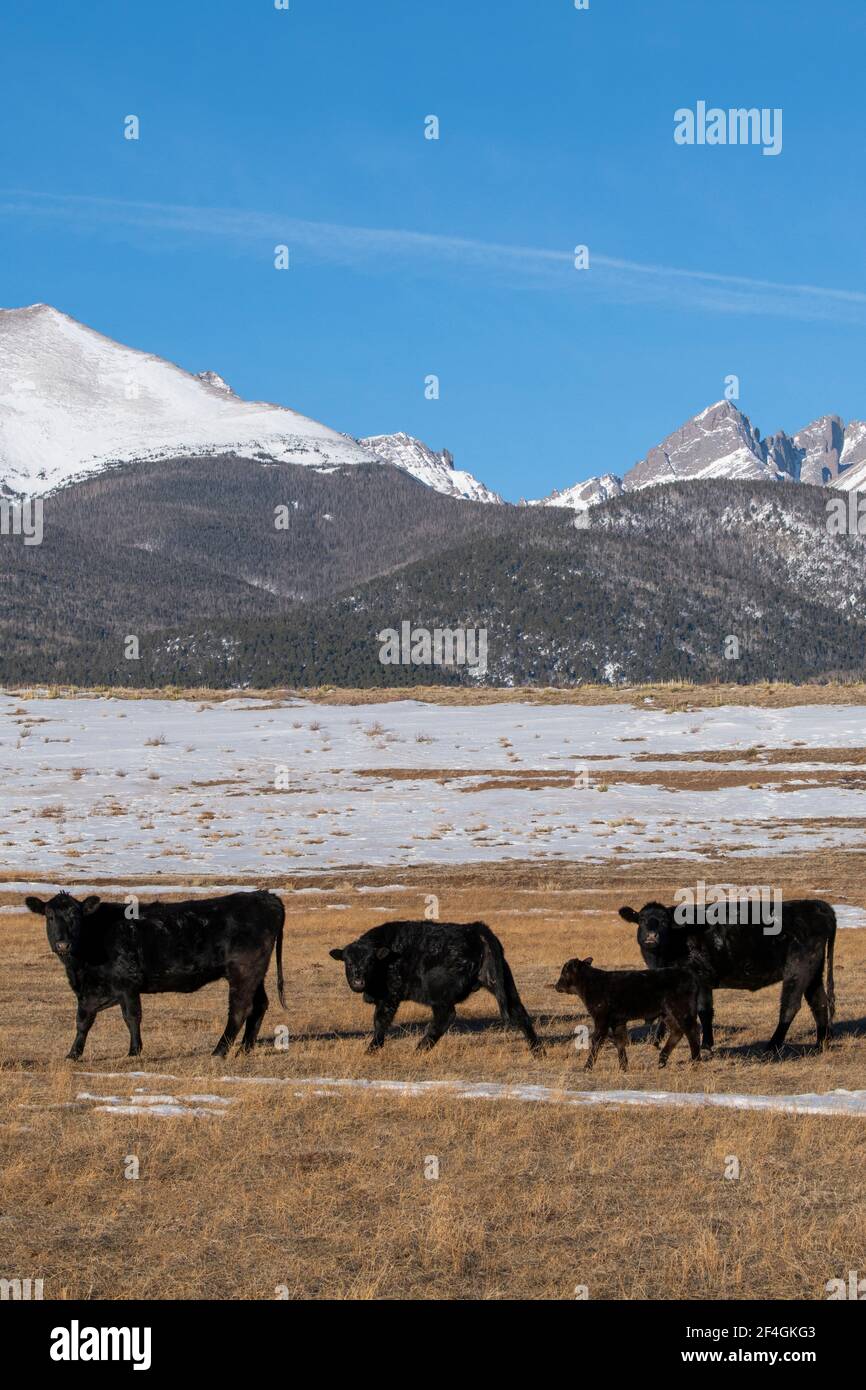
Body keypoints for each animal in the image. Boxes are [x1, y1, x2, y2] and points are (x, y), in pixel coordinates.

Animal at [25, 889, 285, 1059]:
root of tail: (265, 896)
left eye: (75, 916)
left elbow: (132, 1017)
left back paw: (219, 1051)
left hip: (243, 971)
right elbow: (83, 1021)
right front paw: (73, 1054)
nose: (63, 944)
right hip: (256, 974)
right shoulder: (89, 990)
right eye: (50, 916)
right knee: (259, 1005)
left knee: (240, 1009)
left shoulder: (127, 983)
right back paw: (244, 1049)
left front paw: (134, 1051)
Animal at [329, 919, 540, 1052]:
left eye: (370, 962)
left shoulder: (389, 997)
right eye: (348, 962)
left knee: (445, 1017)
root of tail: (474, 929)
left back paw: (419, 1049)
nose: (358, 979)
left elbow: (380, 1021)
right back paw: (538, 1051)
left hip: (439, 993)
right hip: (503, 983)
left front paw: (372, 1048)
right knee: (520, 1013)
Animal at [618, 899, 836, 1053]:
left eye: (664, 922)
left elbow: (703, 1012)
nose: (651, 936)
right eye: (642, 920)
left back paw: (772, 1046)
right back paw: (821, 1044)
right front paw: (655, 1041)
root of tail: (817, 905)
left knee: (790, 1005)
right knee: (819, 1001)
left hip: (798, 968)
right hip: (813, 971)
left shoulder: (700, 979)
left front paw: (705, 1046)